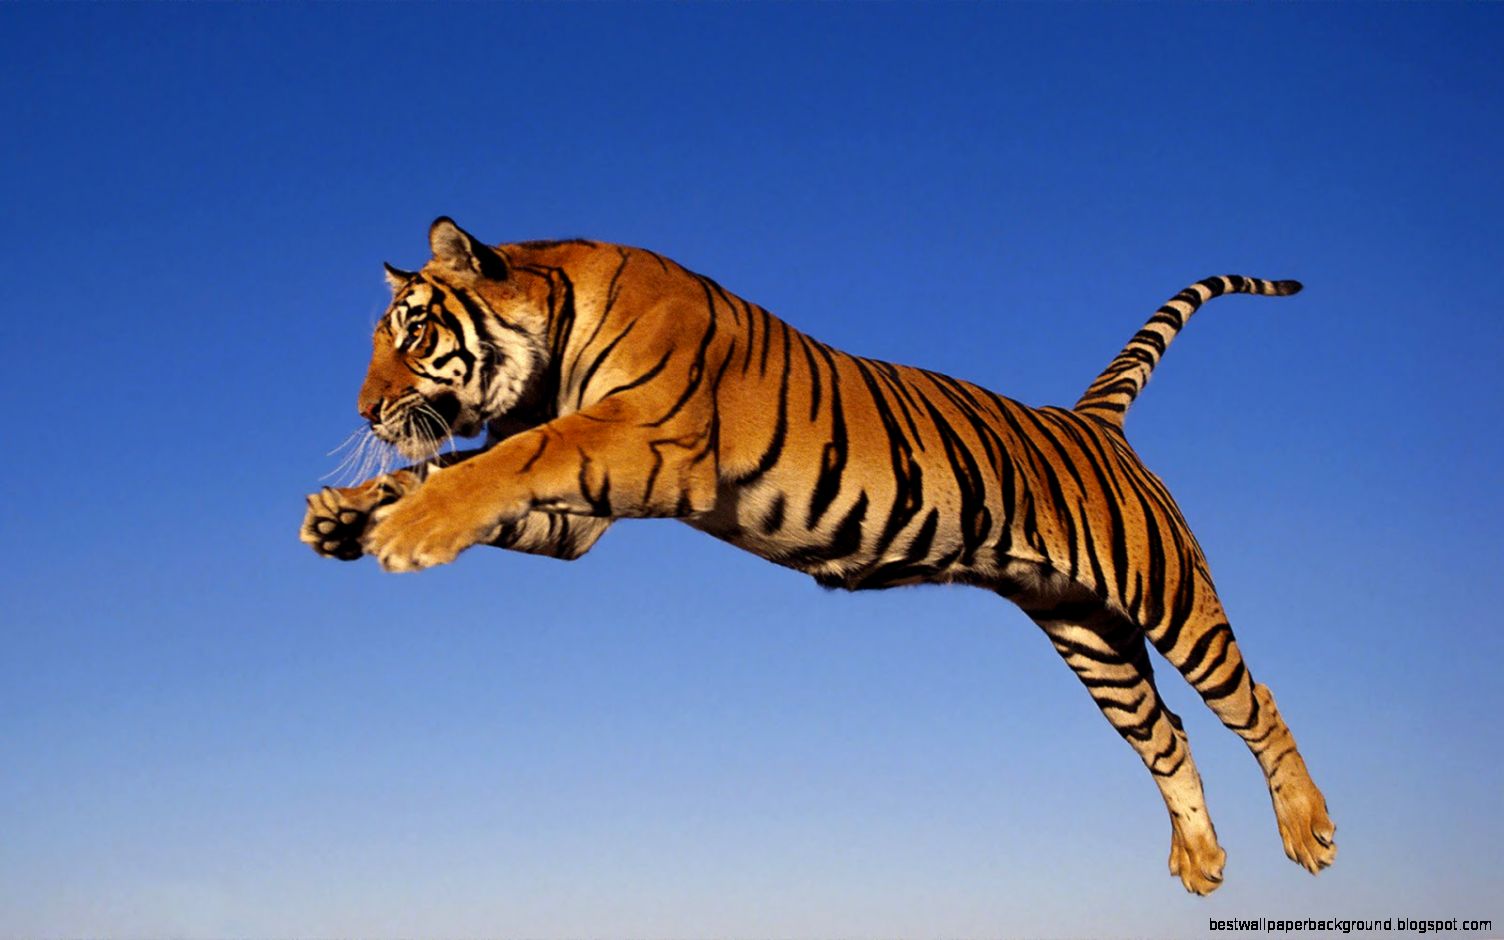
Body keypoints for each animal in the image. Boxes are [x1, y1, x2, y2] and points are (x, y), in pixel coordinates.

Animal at [300, 217, 1336, 894]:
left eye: (415, 333)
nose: (363, 411)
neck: (553, 345)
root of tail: (1091, 419)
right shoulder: (581, 517)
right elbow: (453, 466)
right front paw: (344, 515)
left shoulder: (637, 441)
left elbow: (499, 460)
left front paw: (406, 530)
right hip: (1087, 633)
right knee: (1166, 733)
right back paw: (1201, 862)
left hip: (1168, 594)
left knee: (1254, 700)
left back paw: (1310, 831)